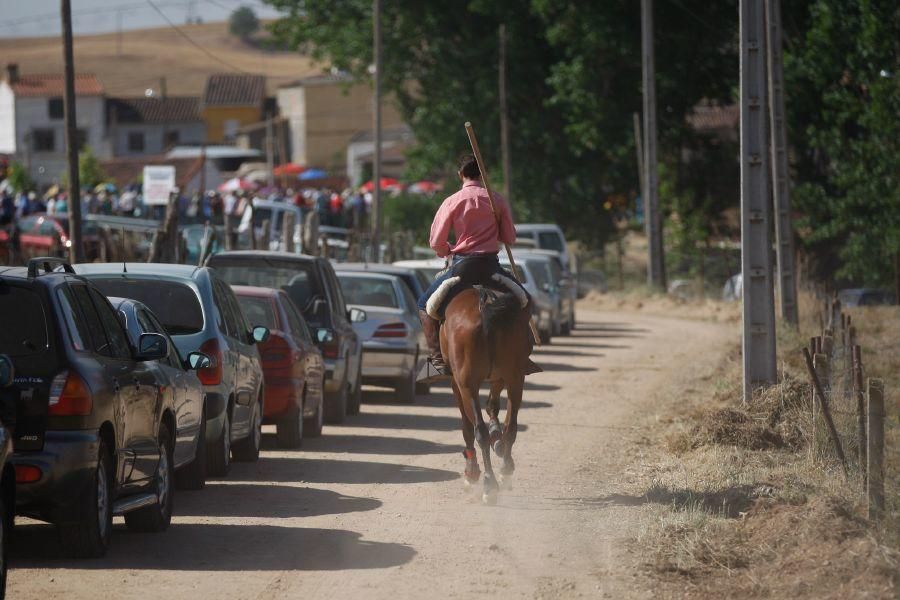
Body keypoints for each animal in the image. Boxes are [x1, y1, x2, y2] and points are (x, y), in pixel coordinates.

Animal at [440, 288, 532, 504]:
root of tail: (485, 305)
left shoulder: (457, 382)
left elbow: (467, 425)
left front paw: (471, 471)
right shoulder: (498, 377)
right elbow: (493, 405)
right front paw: (496, 437)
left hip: (467, 384)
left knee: (479, 431)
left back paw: (489, 484)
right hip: (516, 378)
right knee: (511, 426)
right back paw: (505, 470)